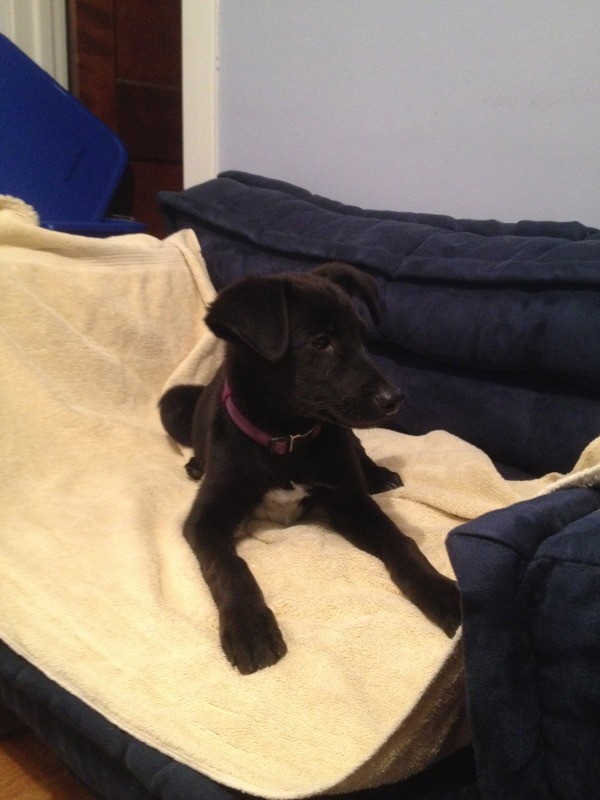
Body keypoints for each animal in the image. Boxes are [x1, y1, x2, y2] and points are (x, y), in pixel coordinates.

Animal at [159, 264, 460, 676]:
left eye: (362, 339)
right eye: (320, 342)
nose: (396, 399)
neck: (286, 439)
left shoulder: (351, 502)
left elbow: (401, 542)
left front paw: (441, 592)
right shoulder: (205, 520)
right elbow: (230, 566)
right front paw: (249, 626)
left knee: (358, 447)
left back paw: (379, 475)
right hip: (171, 404)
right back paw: (193, 464)